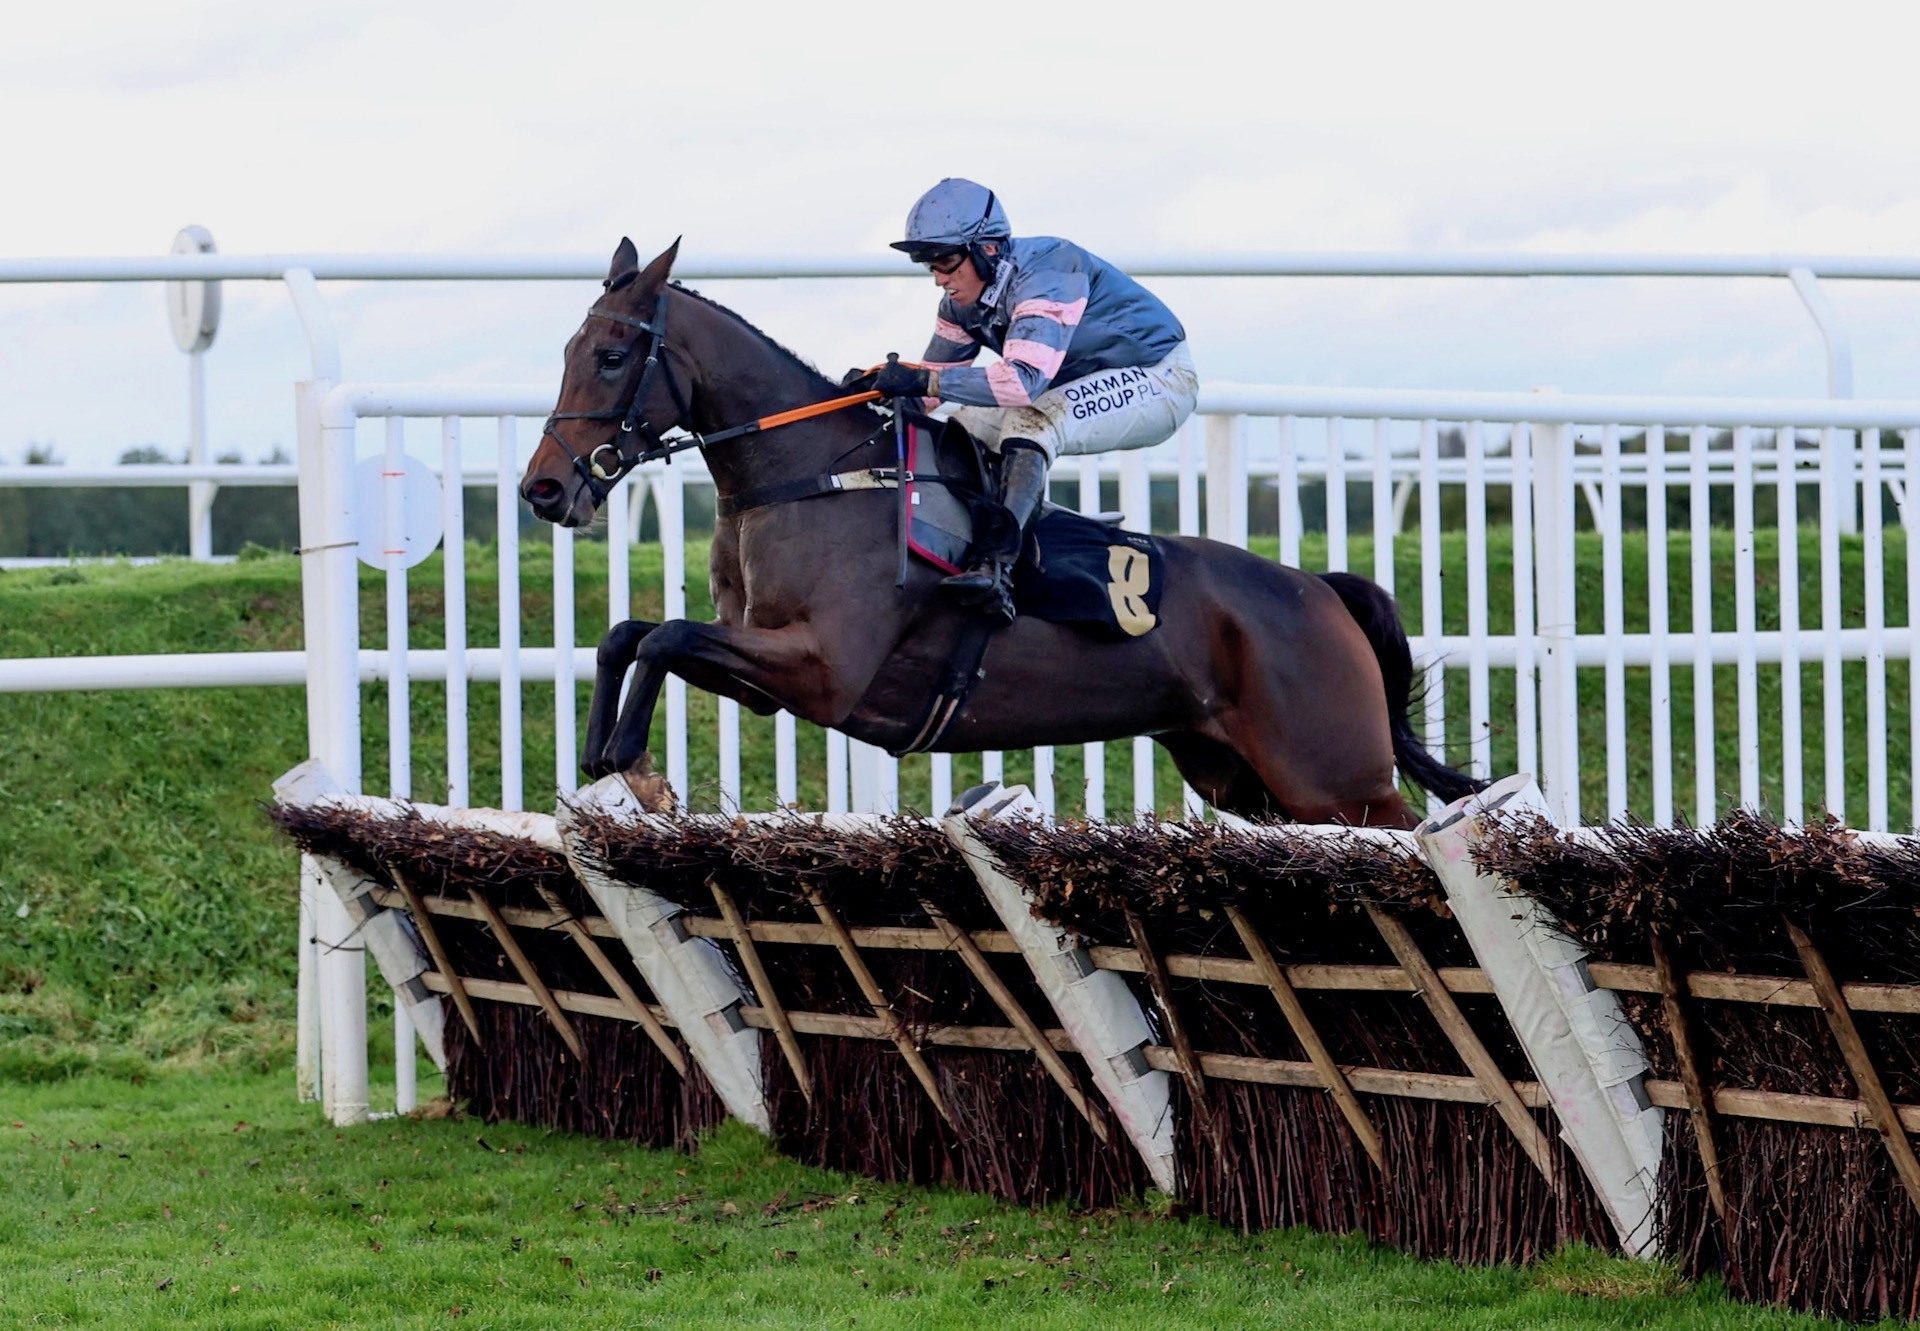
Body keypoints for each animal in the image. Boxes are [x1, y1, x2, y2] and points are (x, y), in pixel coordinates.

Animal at [518, 233, 1474, 825]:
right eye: (565, 353)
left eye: (612, 356)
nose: (543, 488)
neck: (816, 476)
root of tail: (1320, 589)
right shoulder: (764, 670)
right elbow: (630, 634)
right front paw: (614, 757)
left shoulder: (824, 668)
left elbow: (665, 634)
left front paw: (637, 765)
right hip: (1244, 776)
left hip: (1336, 779)